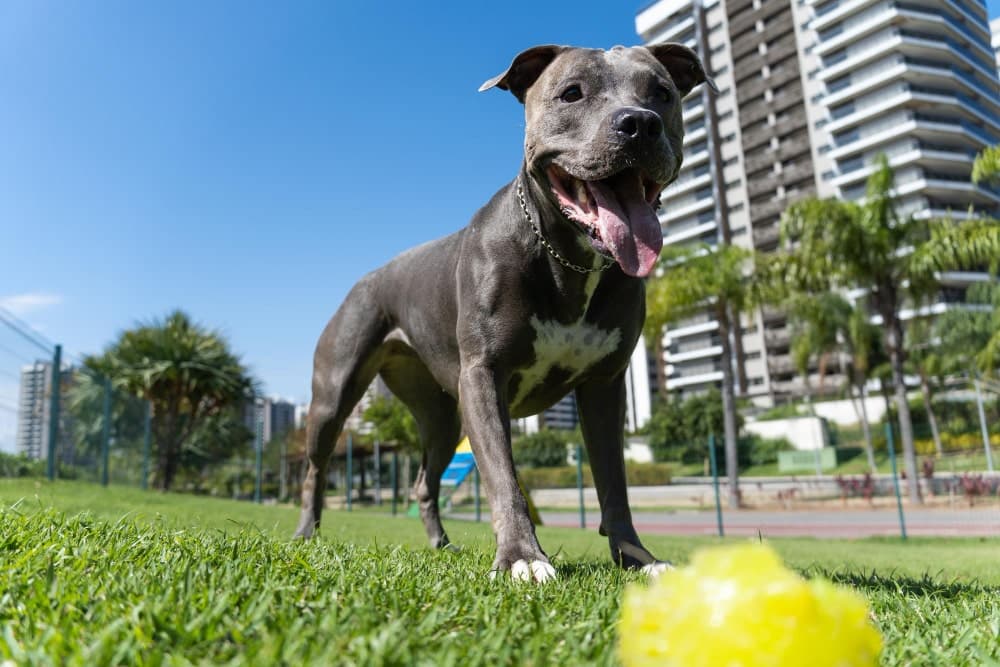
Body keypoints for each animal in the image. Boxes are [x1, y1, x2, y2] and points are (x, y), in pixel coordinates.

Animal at [292, 44, 716, 580]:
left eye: (662, 93)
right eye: (571, 93)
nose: (639, 123)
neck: (570, 260)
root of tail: (367, 278)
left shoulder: (604, 388)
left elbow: (614, 483)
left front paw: (635, 557)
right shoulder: (483, 375)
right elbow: (503, 477)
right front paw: (521, 558)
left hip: (441, 419)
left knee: (423, 482)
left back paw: (441, 545)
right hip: (333, 396)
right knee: (315, 469)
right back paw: (305, 534)